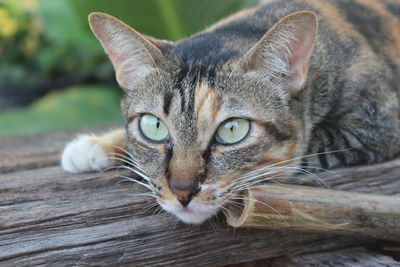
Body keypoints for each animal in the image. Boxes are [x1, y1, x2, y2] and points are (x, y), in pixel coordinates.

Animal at [60, 0, 400, 225]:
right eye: (154, 126)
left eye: (232, 130)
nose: (182, 192)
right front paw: (95, 145)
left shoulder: (377, 125)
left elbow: (303, 151)